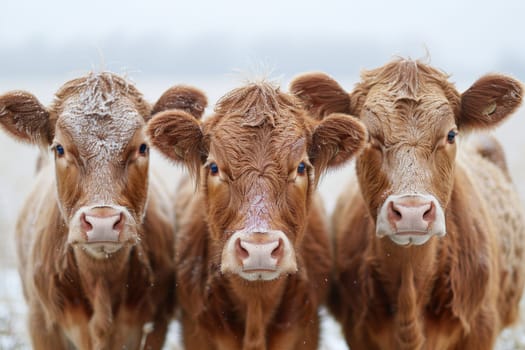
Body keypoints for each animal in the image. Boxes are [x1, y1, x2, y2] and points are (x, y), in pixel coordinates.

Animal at [0, 72, 204, 348]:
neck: (101, 283)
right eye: (60, 148)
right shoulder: (40, 323)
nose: (102, 222)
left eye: (143, 147)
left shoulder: (155, 324)